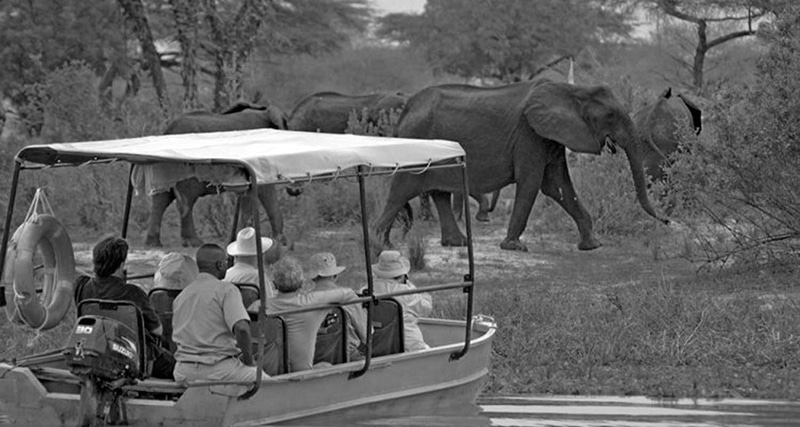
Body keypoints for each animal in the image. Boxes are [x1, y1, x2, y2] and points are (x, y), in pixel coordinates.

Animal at [146, 101, 290, 247]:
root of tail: (167, 131)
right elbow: (265, 191)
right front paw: (280, 243)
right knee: (186, 200)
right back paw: (194, 242)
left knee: (161, 198)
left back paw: (154, 243)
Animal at [376, 79, 668, 251]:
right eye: (610, 115)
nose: (667, 220)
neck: (571, 91)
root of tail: (404, 112)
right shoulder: (530, 133)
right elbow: (532, 182)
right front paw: (513, 247)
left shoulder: (549, 136)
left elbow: (557, 185)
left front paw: (592, 245)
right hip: (415, 144)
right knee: (401, 190)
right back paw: (382, 245)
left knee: (438, 193)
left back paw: (455, 243)